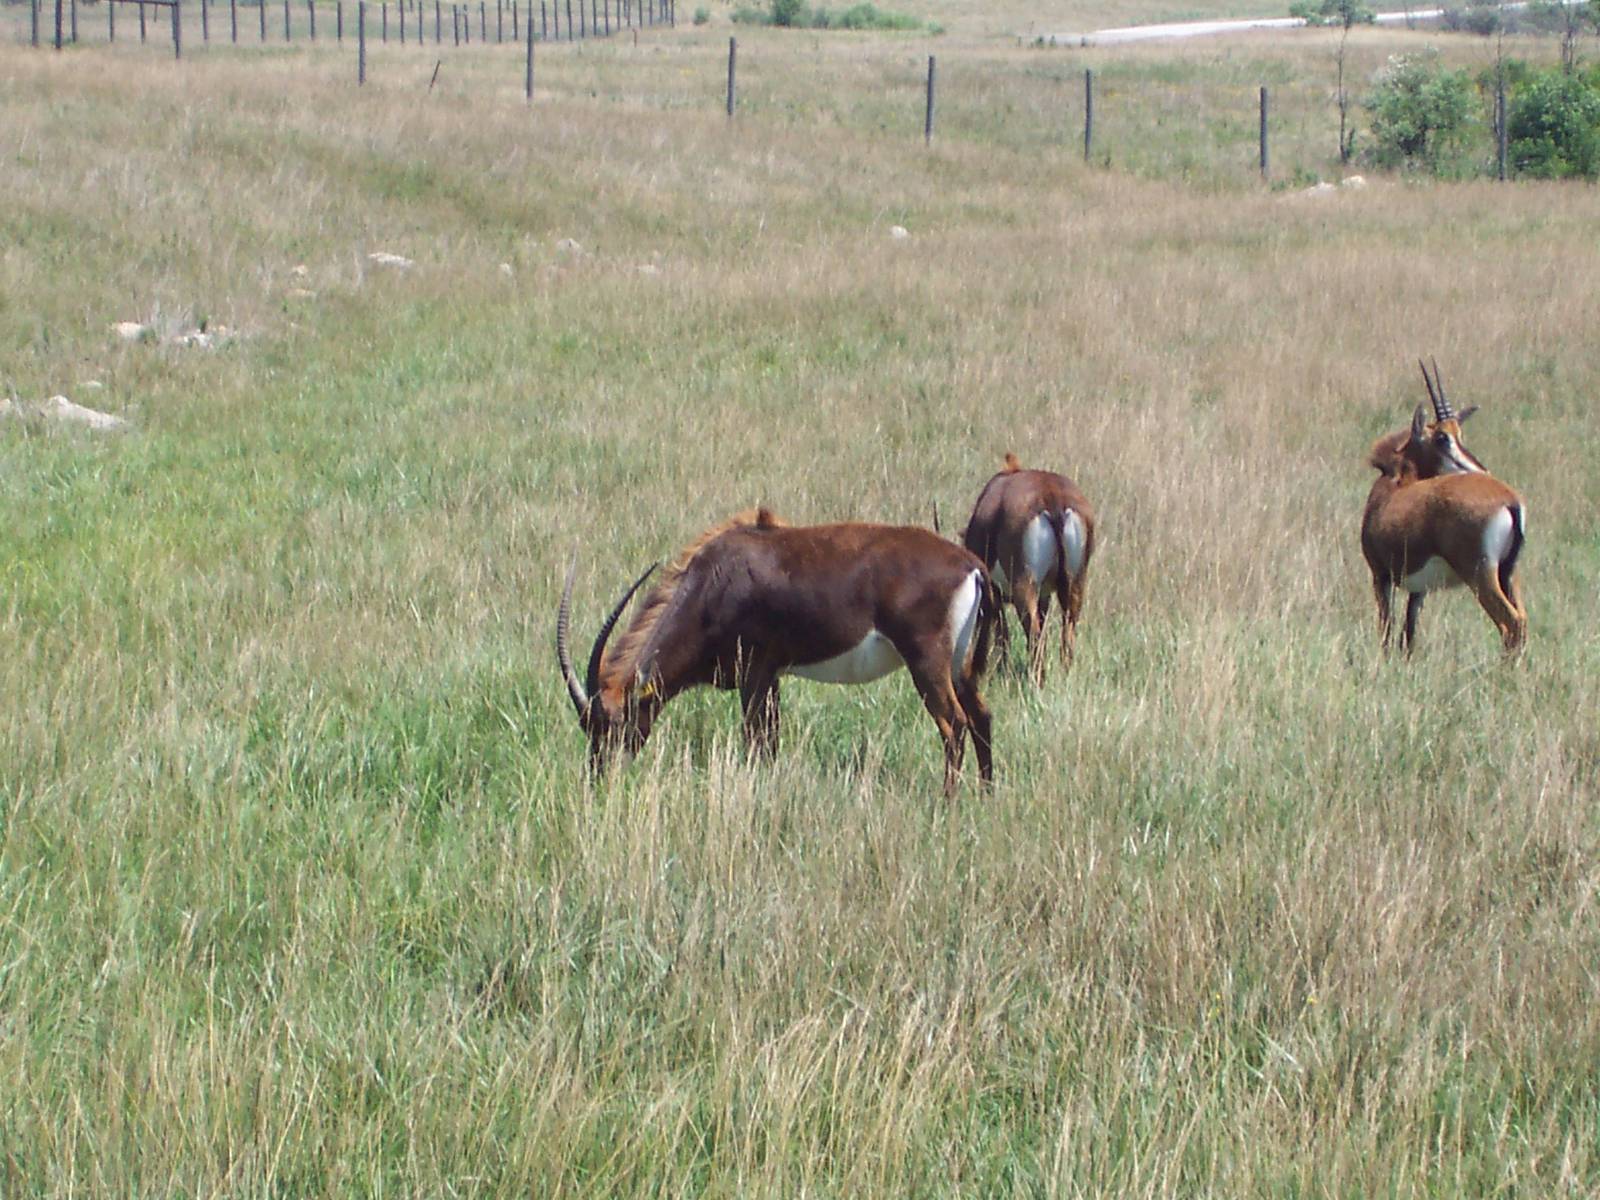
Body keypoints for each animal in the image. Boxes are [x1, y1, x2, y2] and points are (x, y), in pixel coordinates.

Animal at [556, 508, 996, 795]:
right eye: (587, 728)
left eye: (614, 724)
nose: (599, 781)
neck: (712, 583)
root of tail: (970, 564)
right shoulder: (772, 678)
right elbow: (771, 740)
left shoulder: (755, 674)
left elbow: (757, 742)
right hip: (958, 665)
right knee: (981, 716)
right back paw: (986, 795)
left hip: (927, 663)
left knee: (954, 724)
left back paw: (947, 803)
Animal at [960, 454, 1096, 684]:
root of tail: (1052, 497)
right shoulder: (1044, 595)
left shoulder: (995, 592)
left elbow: (1003, 634)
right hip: (1075, 584)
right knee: (1066, 634)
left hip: (1025, 587)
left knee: (1034, 636)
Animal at [1360, 360, 1526, 654]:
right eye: (1442, 437)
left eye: (1456, 435)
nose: (1482, 470)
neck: (1394, 484)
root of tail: (1511, 501)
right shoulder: (1419, 590)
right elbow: (1408, 635)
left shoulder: (1380, 575)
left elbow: (1387, 630)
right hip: (1509, 575)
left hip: (1481, 577)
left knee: (1511, 624)